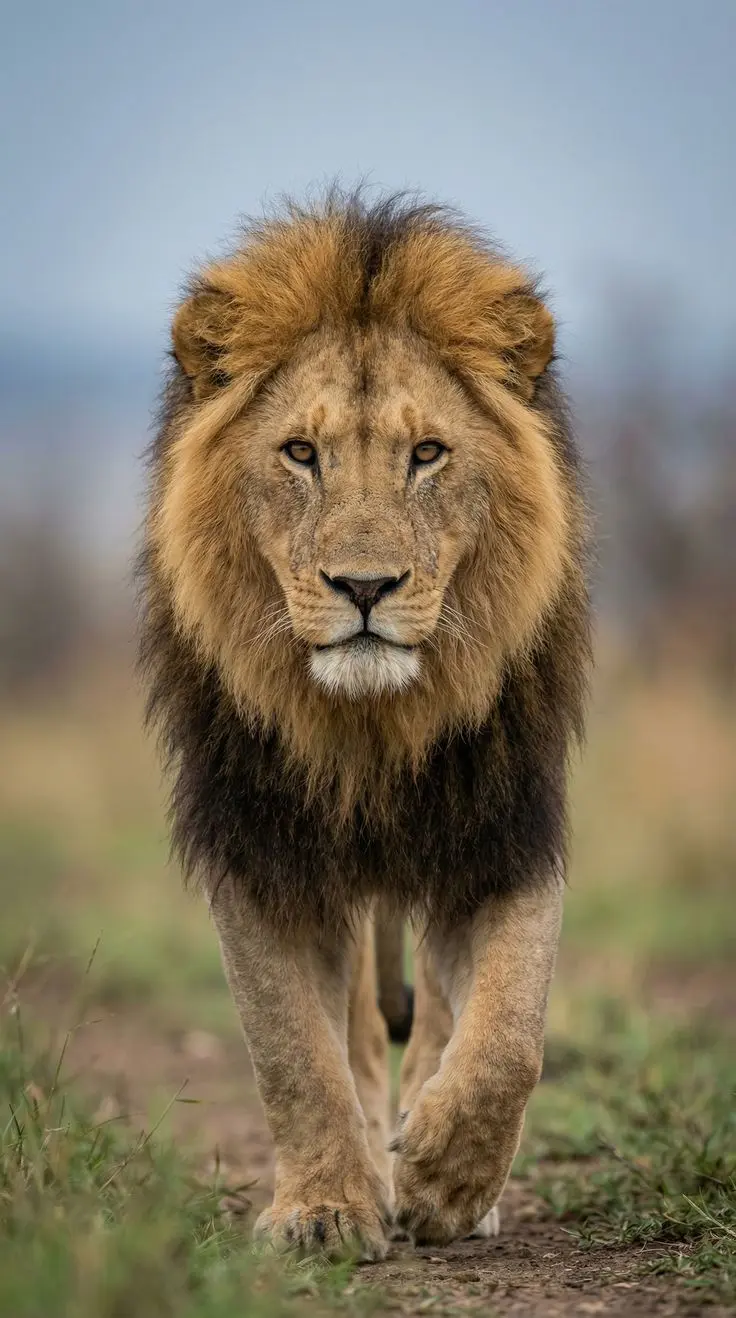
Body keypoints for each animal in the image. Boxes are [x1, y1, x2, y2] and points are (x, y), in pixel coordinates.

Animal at [138, 189, 591, 1260]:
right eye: (301, 454)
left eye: (427, 454)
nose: (366, 587)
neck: (373, 728)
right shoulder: (260, 848)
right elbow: (292, 1052)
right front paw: (326, 1207)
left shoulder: (504, 830)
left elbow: (510, 1035)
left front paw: (446, 1179)